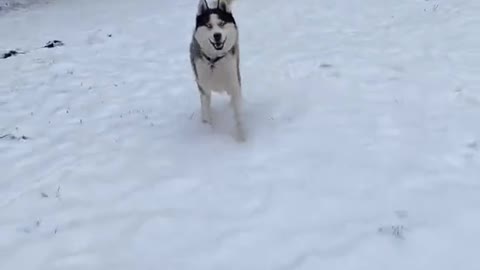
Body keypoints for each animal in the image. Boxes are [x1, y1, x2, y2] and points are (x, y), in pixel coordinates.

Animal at [189, 0, 246, 141]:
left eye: (221, 23)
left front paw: (242, 138)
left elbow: (238, 116)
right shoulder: (204, 89)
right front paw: (208, 133)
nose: (217, 35)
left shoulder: (234, 84)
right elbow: (206, 114)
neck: (215, 61)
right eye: (209, 25)